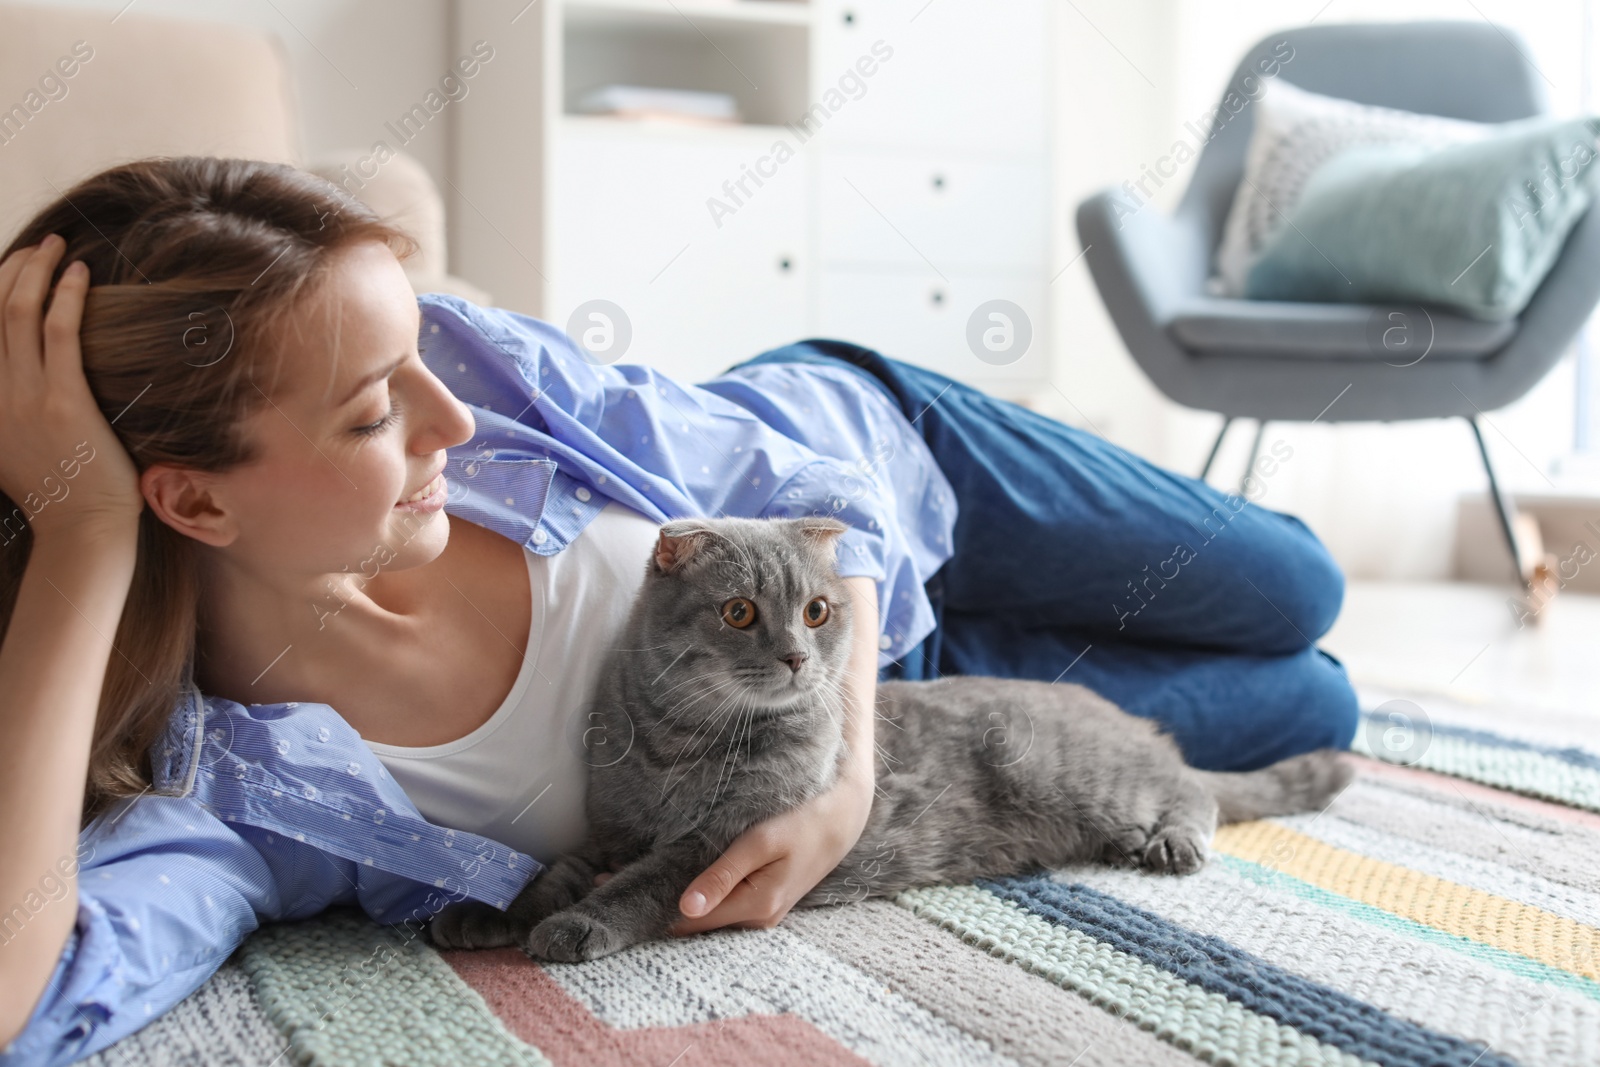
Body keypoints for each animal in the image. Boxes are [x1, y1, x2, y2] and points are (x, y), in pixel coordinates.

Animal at [428, 511, 1350, 966]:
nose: (798, 655)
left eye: (816, 610)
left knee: (1192, 785)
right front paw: (489, 911)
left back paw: (1172, 838)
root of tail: (1123, 715)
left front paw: (574, 926)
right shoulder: (610, 828)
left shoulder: (720, 842)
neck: (680, 742)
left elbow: (639, 886)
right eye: (739, 611)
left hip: (1089, 776)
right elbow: (556, 868)